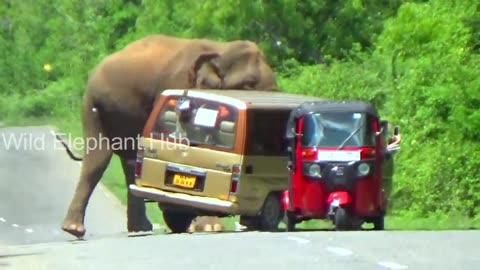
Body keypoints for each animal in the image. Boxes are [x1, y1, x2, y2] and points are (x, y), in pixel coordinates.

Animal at [59, 33, 278, 238]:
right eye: (249, 84)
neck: (221, 49)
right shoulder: (178, 85)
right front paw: (209, 227)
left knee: (126, 160)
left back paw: (139, 228)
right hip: (92, 103)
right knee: (98, 159)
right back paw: (75, 229)